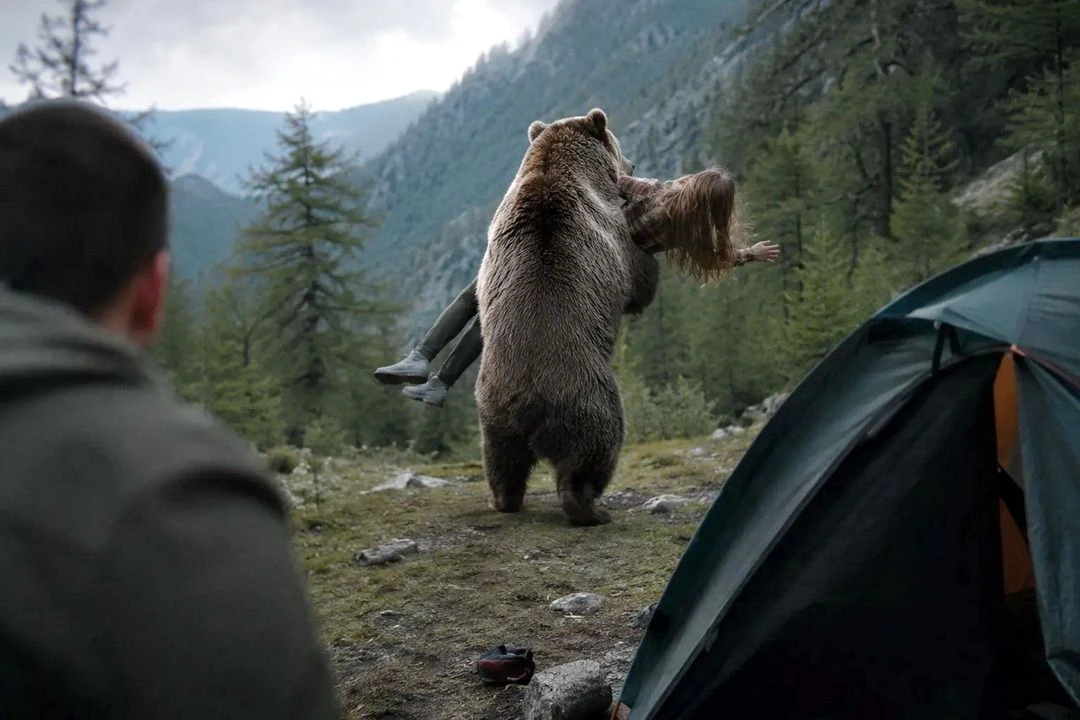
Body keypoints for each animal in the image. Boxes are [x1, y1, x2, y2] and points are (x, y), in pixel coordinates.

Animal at [474, 108, 660, 526]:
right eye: (619, 146)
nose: (632, 165)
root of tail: (527, 402)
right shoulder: (611, 232)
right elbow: (638, 278)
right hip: (585, 393)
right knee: (597, 446)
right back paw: (590, 507)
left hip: (492, 409)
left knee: (502, 460)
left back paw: (504, 500)